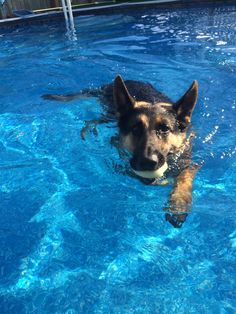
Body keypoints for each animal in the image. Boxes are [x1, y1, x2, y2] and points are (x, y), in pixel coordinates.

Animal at [42, 76, 199, 228]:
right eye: (135, 128)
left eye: (165, 129)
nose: (147, 162)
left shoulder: (189, 161)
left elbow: (184, 178)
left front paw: (178, 202)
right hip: (110, 114)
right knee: (95, 120)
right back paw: (89, 128)